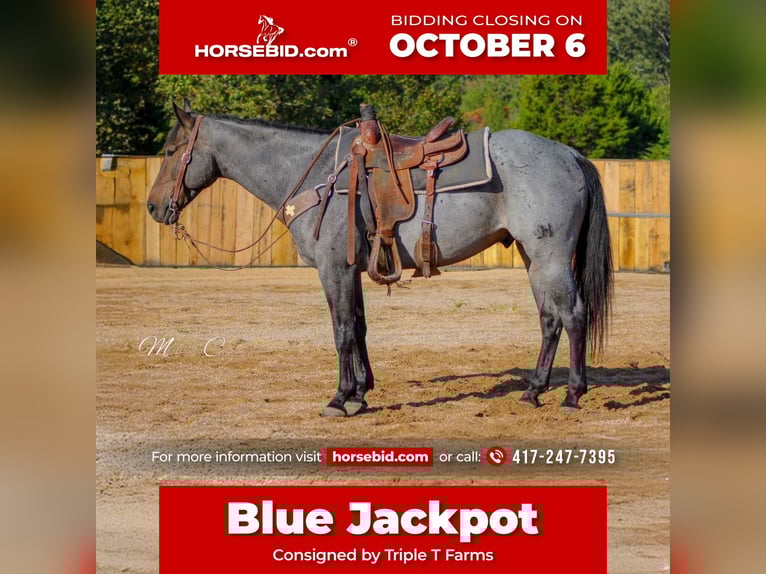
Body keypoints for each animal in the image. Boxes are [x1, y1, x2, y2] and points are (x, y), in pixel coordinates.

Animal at [147, 101, 613, 417]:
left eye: (171, 151)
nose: (153, 207)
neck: (317, 176)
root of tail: (569, 154)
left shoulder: (333, 268)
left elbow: (340, 331)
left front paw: (340, 398)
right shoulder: (351, 269)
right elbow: (359, 327)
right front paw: (360, 392)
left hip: (550, 257)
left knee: (573, 314)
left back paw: (573, 394)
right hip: (533, 258)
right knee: (549, 319)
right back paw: (533, 390)